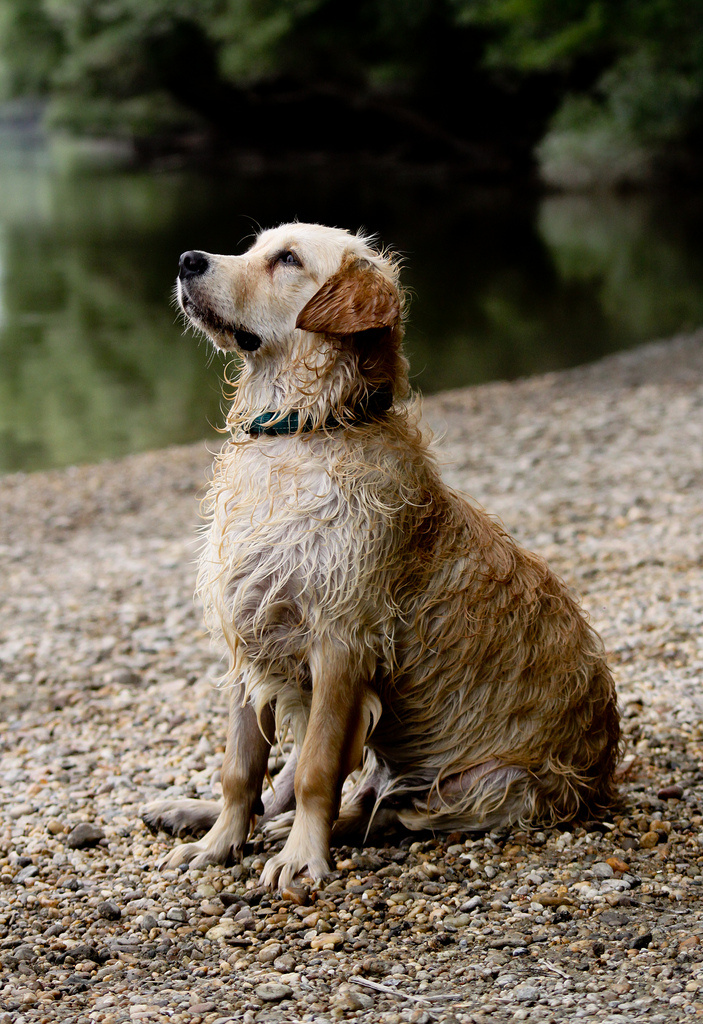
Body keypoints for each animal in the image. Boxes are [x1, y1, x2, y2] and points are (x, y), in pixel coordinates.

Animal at [141, 224, 613, 888]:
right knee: (306, 792)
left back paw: (313, 830)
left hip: (493, 782)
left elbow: (317, 775)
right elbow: (241, 769)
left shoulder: (342, 642)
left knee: (383, 811)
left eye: (287, 259)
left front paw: (302, 859)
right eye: (255, 247)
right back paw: (190, 812)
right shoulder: (248, 633)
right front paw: (218, 843)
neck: (305, 428)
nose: (187, 260)